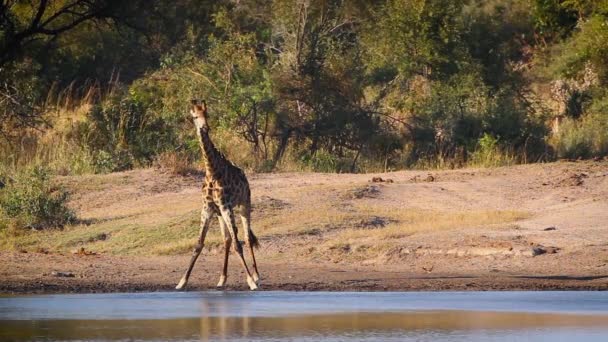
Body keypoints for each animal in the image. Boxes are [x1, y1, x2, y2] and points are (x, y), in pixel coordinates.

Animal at [176, 99, 262, 292]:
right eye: (195, 116)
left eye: (207, 114)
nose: (205, 127)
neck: (212, 172)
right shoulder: (208, 209)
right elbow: (199, 244)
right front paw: (182, 281)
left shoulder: (226, 205)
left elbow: (239, 245)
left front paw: (251, 281)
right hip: (221, 214)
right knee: (227, 240)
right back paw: (222, 279)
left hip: (244, 204)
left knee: (246, 238)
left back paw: (256, 276)